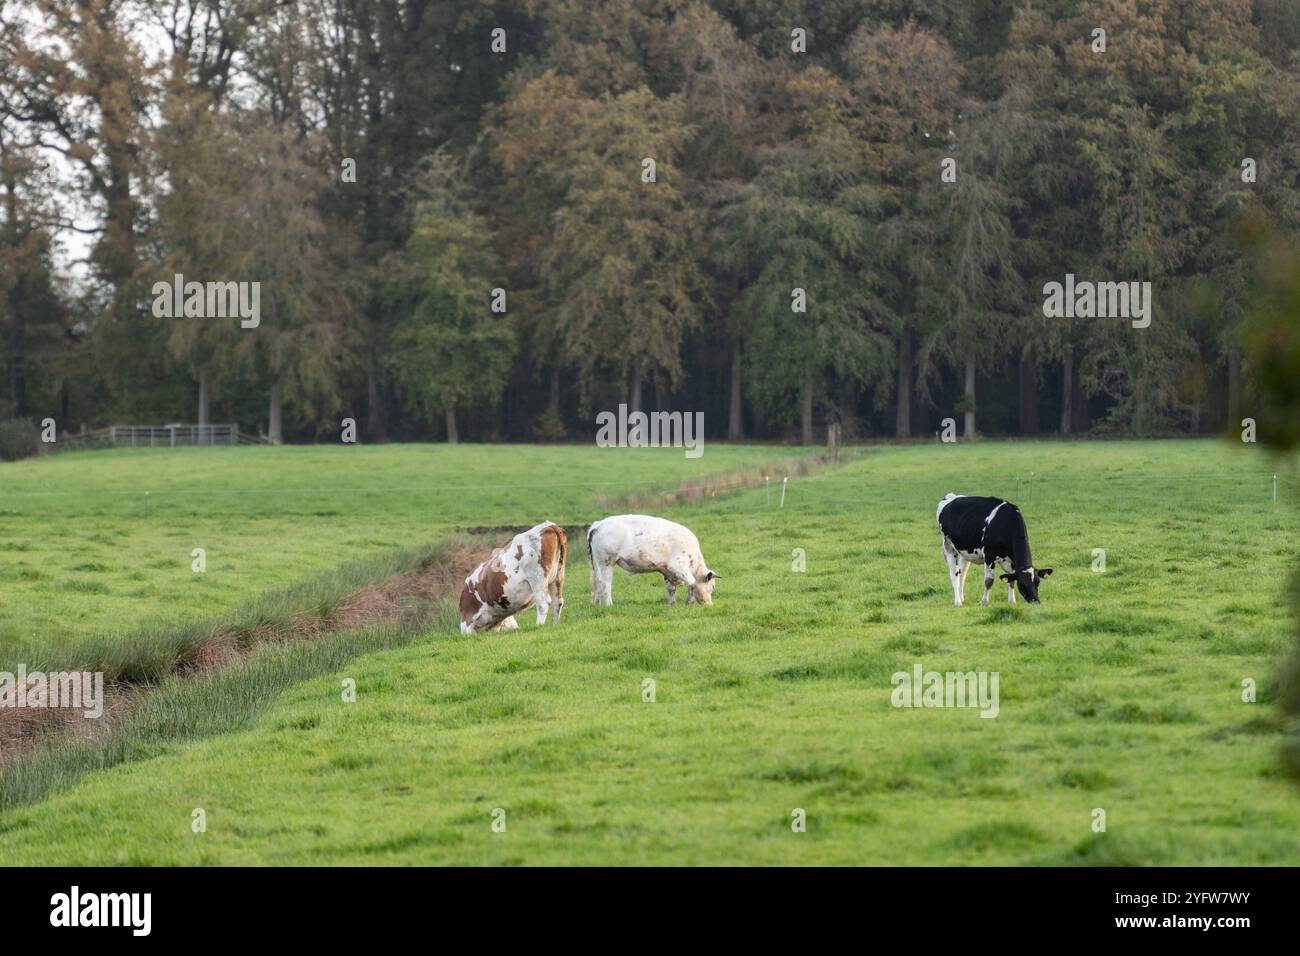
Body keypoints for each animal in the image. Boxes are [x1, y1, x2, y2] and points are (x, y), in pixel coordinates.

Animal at [585, 515, 717, 606]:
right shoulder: (678, 566)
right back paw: (609, 605)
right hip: (607, 562)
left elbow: (671, 588)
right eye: (712, 586)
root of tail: (598, 524)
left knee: (597, 581)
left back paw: (597, 604)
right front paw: (688, 602)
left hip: (600, 564)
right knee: (605, 583)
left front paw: (673, 605)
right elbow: (692, 583)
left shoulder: (667, 570)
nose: (709, 605)